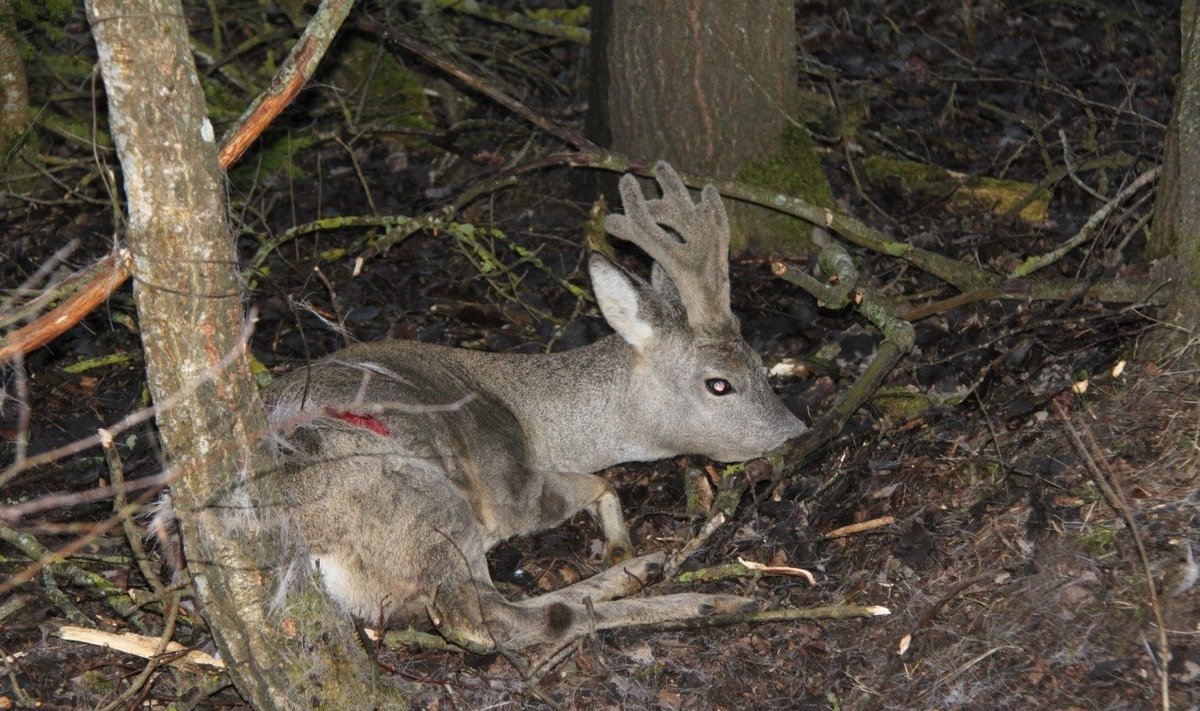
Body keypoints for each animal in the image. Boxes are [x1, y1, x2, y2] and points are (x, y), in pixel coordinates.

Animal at [240, 163, 806, 653]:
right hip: (425, 502)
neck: (534, 420)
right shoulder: (511, 488)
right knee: (491, 620)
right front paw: (623, 544)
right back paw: (704, 596)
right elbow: (599, 483)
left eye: (761, 362)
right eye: (719, 384)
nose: (796, 432)